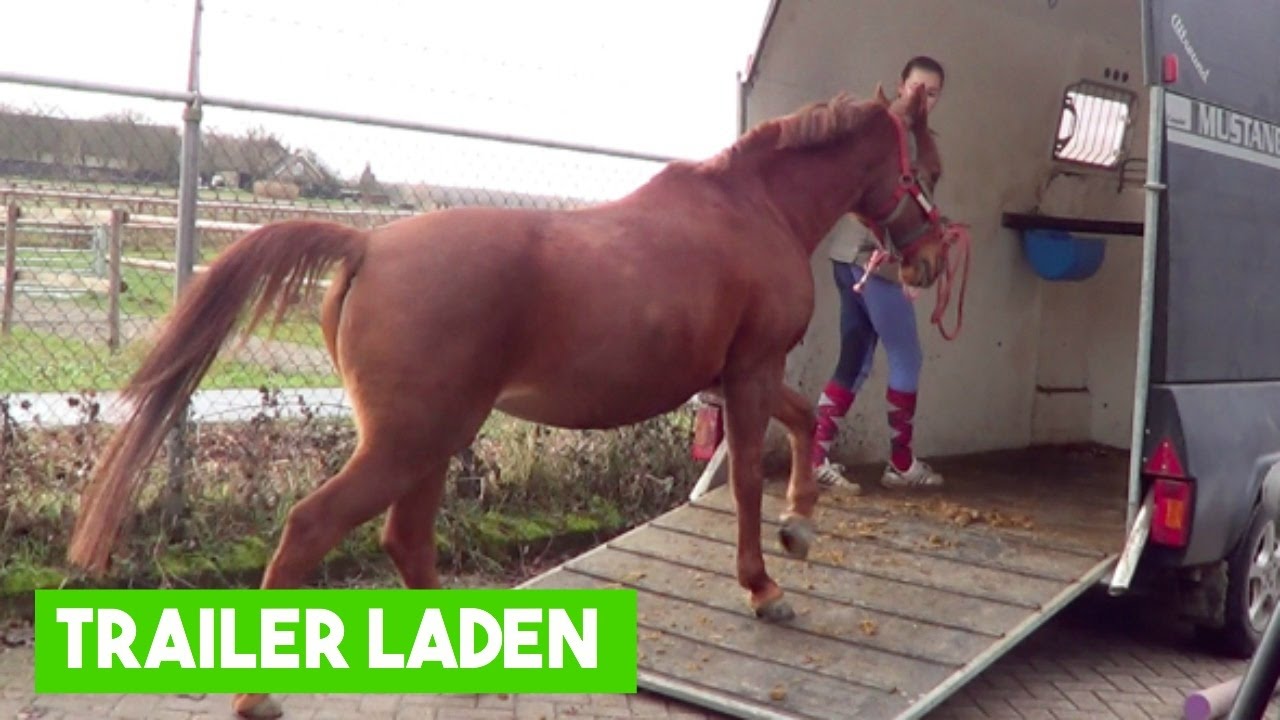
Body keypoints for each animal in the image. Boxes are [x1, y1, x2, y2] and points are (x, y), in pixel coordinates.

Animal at [66, 83, 953, 719]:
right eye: (930, 170)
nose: (930, 262)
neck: (751, 208)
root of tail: (368, 244)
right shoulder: (752, 371)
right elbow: (744, 479)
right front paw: (765, 586)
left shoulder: (745, 375)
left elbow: (807, 425)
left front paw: (800, 527)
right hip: (410, 441)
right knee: (315, 527)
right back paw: (258, 696)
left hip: (427, 442)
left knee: (405, 541)